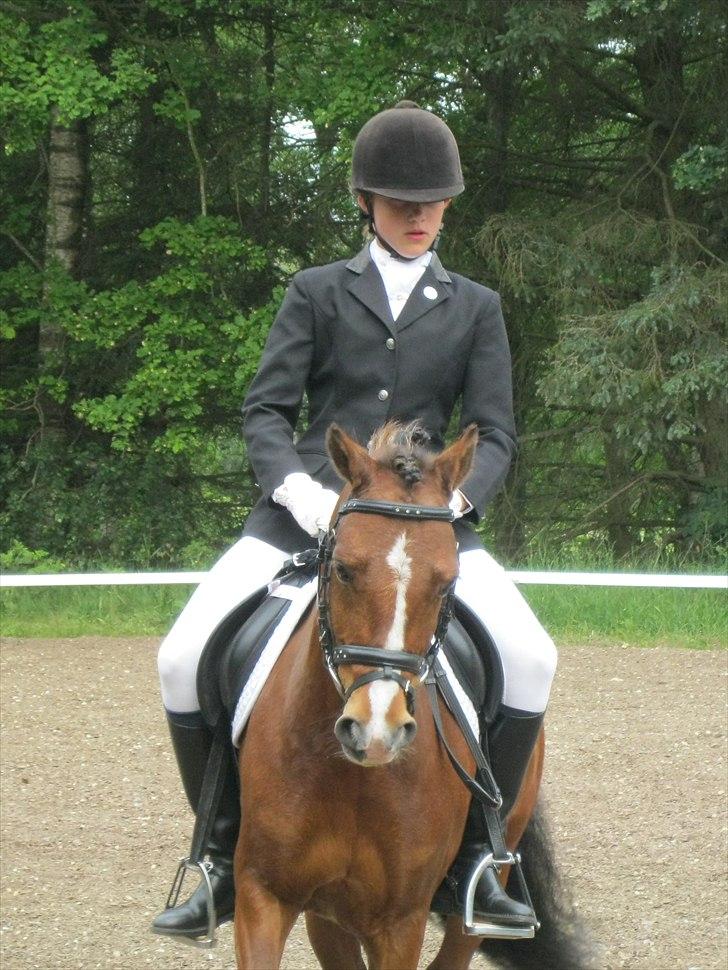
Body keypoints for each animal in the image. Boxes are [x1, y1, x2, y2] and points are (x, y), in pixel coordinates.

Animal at [233, 424, 584, 968]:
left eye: (447, 583)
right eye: (343, 570)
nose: (376, 731)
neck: (351, 779)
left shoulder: (400, 923)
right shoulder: (262, 896)